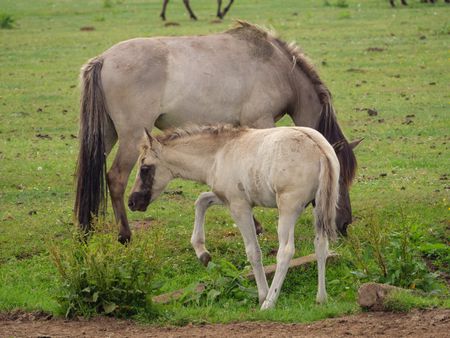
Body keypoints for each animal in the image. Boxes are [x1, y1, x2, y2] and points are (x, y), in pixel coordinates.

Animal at [76, 21, 358, 243]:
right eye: (338, 178)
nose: (345, 224)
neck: (279, 68)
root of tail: (103, 59)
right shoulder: (261, 122)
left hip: (108, 134)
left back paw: (86, 230)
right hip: (131, 137)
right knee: (116, 178)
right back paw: (124, 235)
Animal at [128, 125, 340, 308]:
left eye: (144, 168)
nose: (132, 202)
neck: (218, 154)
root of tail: (319, 150)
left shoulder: (240, 206)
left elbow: (253, 251)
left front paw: (262, 294)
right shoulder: (226, 197)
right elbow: (201, 200)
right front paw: (202, 253)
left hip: (288, 208)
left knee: (286, 251)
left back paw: (269, 303)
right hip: (318, 207)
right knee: (321, 245)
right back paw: (321, 298)